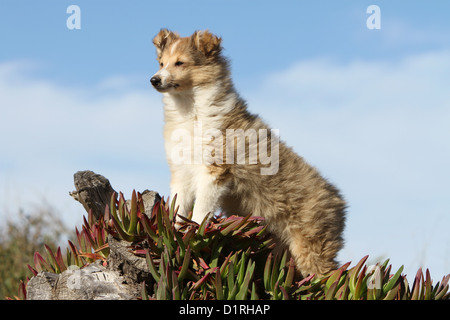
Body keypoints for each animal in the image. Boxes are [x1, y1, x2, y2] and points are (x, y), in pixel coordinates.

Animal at [149, 28, 346, 276]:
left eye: (180, 63)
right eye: (161, 63)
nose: (154, 79)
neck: (189, 111)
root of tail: (339, 203)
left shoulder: (215, 170)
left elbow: (202, 207)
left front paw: (194, 231)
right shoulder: (181, 170)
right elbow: (179, 204)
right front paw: (174, 230)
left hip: (311, 246)